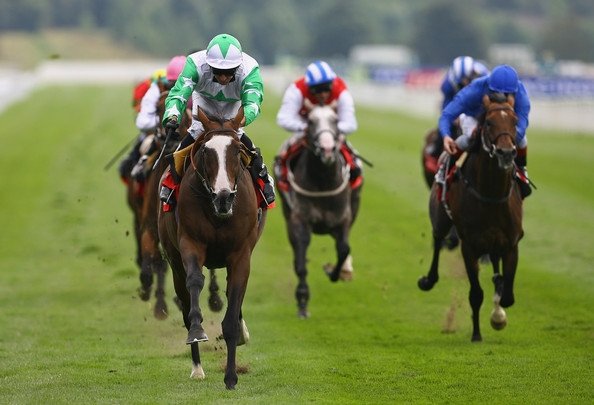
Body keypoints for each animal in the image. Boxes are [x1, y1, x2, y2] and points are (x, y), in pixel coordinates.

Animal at [158, 107, 267, 389]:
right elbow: (195, 282)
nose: (224, 196)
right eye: (206, 151)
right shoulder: (190, 243)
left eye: (237, 150)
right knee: (185, 299)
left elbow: (233, 307)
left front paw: (231, 376)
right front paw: (198, 331)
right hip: (174, 262)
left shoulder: (241, 255)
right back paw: (197, 367)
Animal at [274, 101, 363, 318]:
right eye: (310, 121)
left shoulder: (342, 220)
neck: (323, 182)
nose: (327, 148)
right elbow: (300, 263)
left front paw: (334, 272)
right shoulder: (299, 221)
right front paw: (302, 301)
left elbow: (343, 249)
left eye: (336, 120)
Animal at [418, 93, 524, 342]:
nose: (506, 152)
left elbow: (507, 295)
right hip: (440, 216)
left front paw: (498, 315)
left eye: (515, 121)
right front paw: (477, 334)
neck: (491, 195)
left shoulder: (511, 244)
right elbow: (476, 293)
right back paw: (428, 279)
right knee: (438, 239)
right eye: (489, 123)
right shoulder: (470, 246)